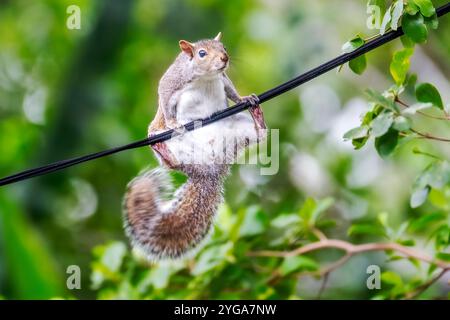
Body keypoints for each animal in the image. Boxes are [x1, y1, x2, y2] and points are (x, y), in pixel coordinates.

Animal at [123, 33, 268, 260]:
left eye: (224, 47)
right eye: (201, 53)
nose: (224, 58)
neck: (206, 77)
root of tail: (210, 168)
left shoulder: (222, 78)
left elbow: (231, 90)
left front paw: (244, 98)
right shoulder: (172, 81)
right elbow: (165, 99)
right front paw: (173, 123)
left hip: (238, 129)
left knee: (260, 136)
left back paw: (257, 116)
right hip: (178, 150)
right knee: (173, 163)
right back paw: (162, 148)